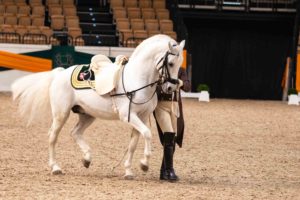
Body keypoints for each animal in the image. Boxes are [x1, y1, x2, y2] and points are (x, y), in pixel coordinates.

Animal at [11, 34, 185, 178]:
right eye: (170, 63)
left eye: (179, 65)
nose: (171, 88)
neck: (136, 78)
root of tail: (60, 73)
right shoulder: (128, 116)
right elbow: (147, 134)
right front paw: (144, 164)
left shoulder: (141, 117)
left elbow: (133, 144)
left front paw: (129, 171)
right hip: (61, 114)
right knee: (53, 136)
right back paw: (56, 168)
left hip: (87, 114)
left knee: (75, 132)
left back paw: (87, 159)